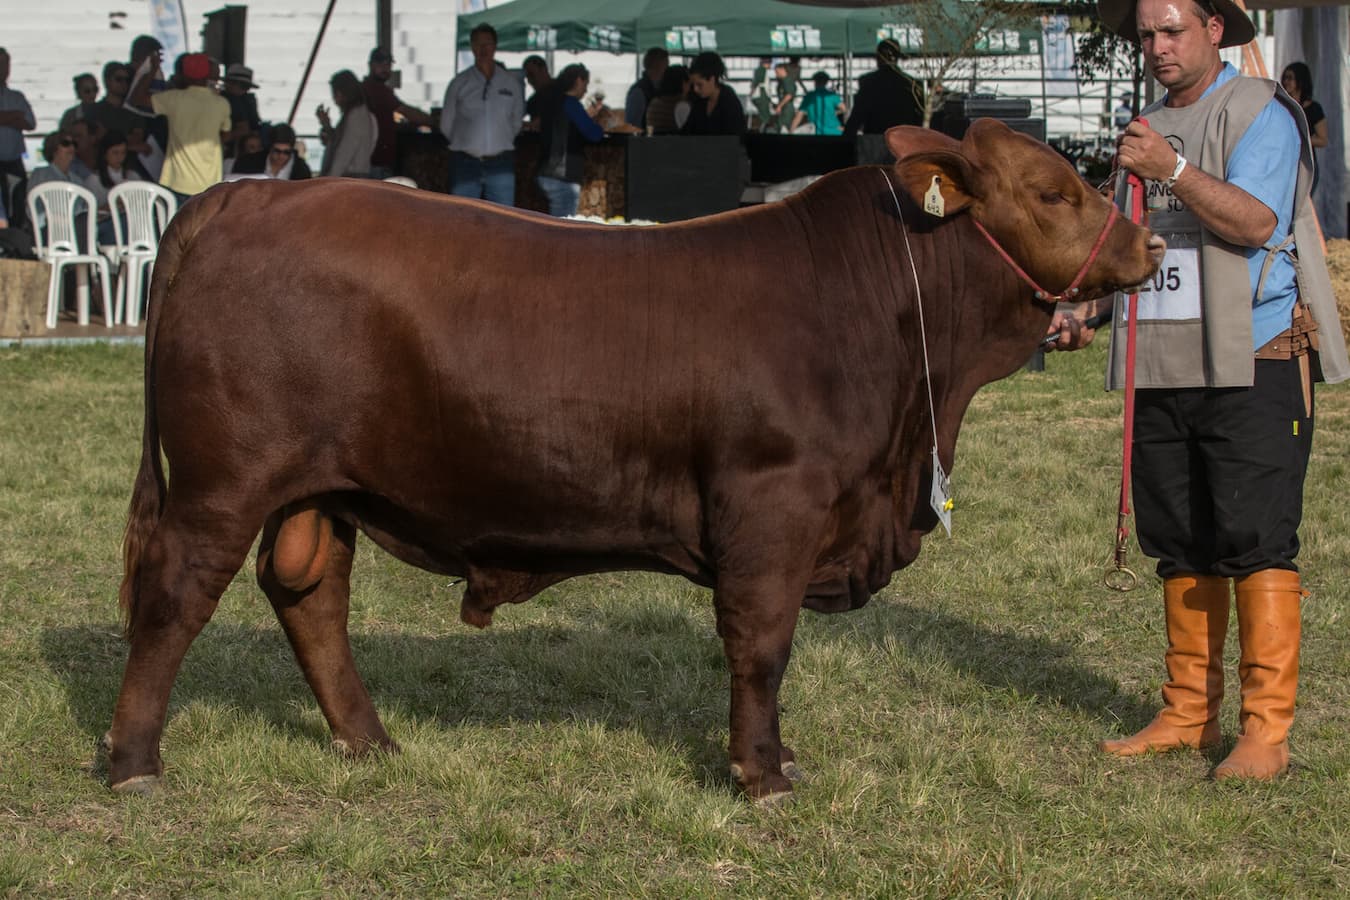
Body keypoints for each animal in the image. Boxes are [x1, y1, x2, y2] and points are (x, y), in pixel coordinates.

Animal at [102, 121, 1161, 804]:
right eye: (1056, 191)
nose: (1150, 241)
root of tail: (244, 195)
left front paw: (773, 764)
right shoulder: (774, 504)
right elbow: (761, 644)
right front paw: (763, 774)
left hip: (322, 488)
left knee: (310, 596)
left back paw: (369, 743)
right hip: (223, 480)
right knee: (173, 596)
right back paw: (134, 762)